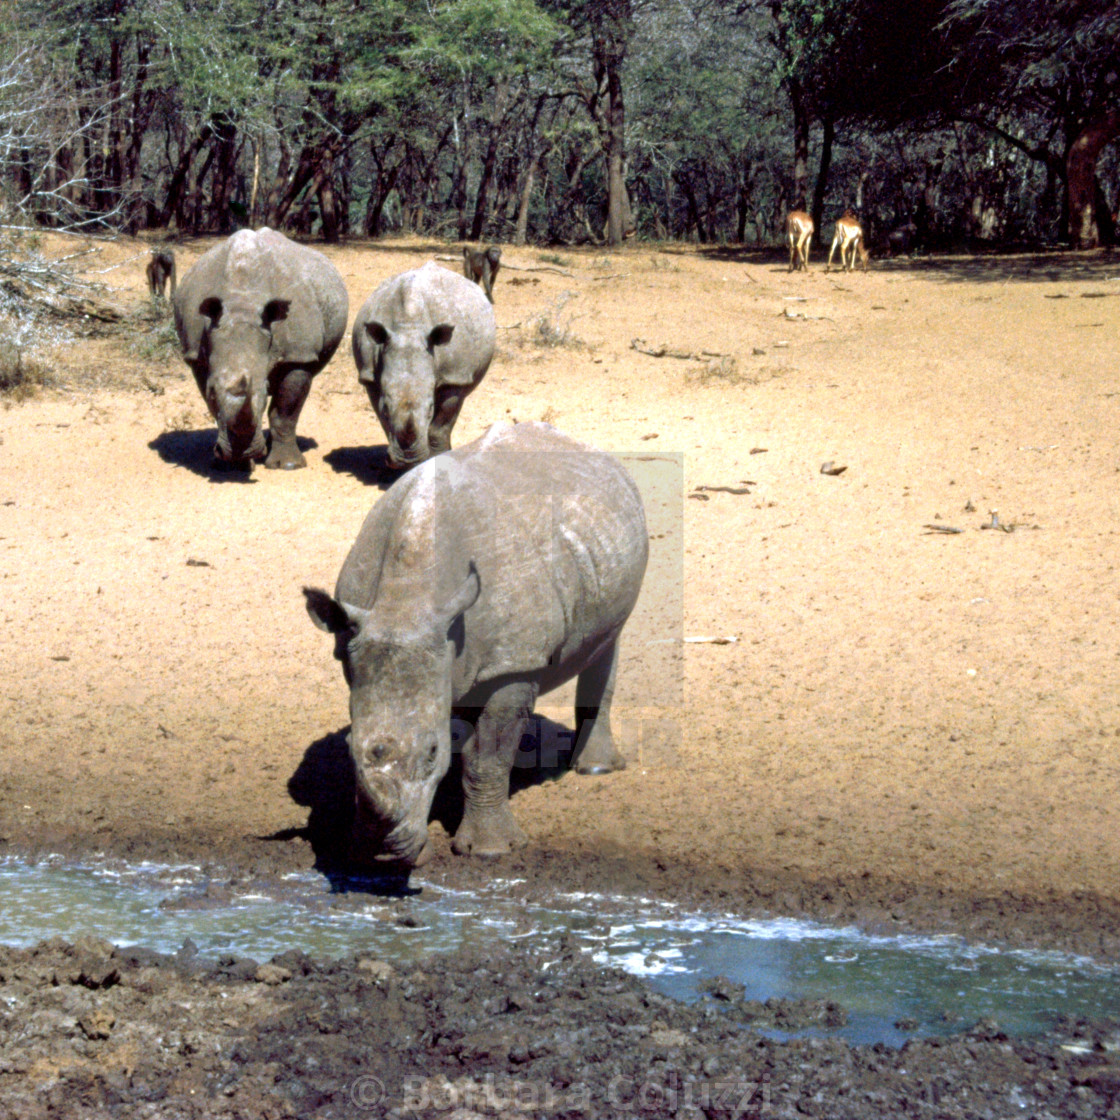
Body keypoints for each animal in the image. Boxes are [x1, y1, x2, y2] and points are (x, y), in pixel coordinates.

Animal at [172, 227, 347, 472]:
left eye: (264, 391)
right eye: (213, 393)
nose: (240, 452)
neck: (241, 302)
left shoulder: (298, 355)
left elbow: (284, 410)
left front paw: (288, 465)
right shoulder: (196, 355)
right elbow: (214, 407)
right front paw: (233, 465)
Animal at [302, 421, 649, 864]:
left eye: (432, 752)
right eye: (346, 749)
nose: (384, 854)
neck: (406, 602)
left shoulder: (512, 663)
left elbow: (486, 756)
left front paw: (490, 851)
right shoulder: (360, 639)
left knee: (607, 643)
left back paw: (595, 769)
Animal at [347, 260, 492, 468]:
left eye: (431, 408)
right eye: (386, 408)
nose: (408, 458)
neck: (409, 328)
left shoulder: (454, 377)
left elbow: (439, 427)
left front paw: (435, 460)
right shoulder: (370, 376)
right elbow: (383, 421)